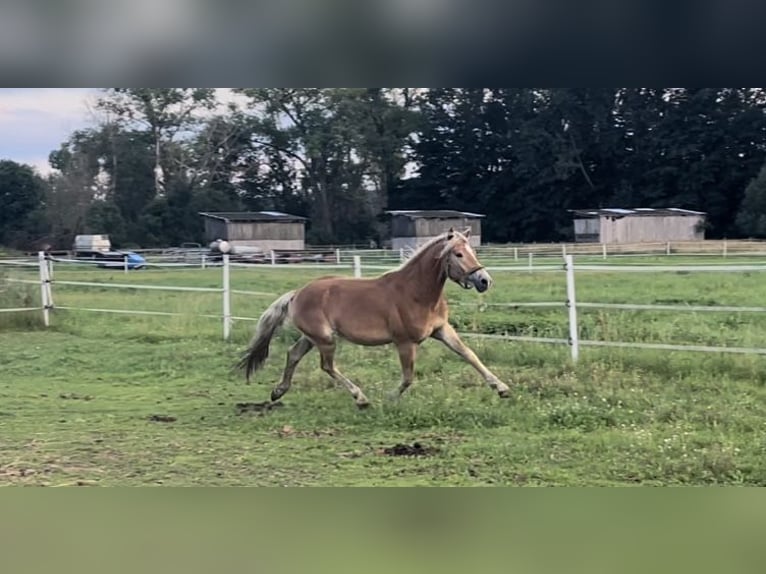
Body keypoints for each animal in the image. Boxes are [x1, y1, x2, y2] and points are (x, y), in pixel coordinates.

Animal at [237, 227, 512, 408]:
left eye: (472, 250)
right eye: (458, 254)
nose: (484, 280)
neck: (415, 293)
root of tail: (297, 293)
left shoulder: (442, 330)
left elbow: (469, 355)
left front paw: (502, 389)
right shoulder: (404, 342)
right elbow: (408, 377)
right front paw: (389, 399)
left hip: (313, 337)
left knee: (293, 354)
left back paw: (278, 392)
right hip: (325, 339)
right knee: (327, 366)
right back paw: (361, 398)